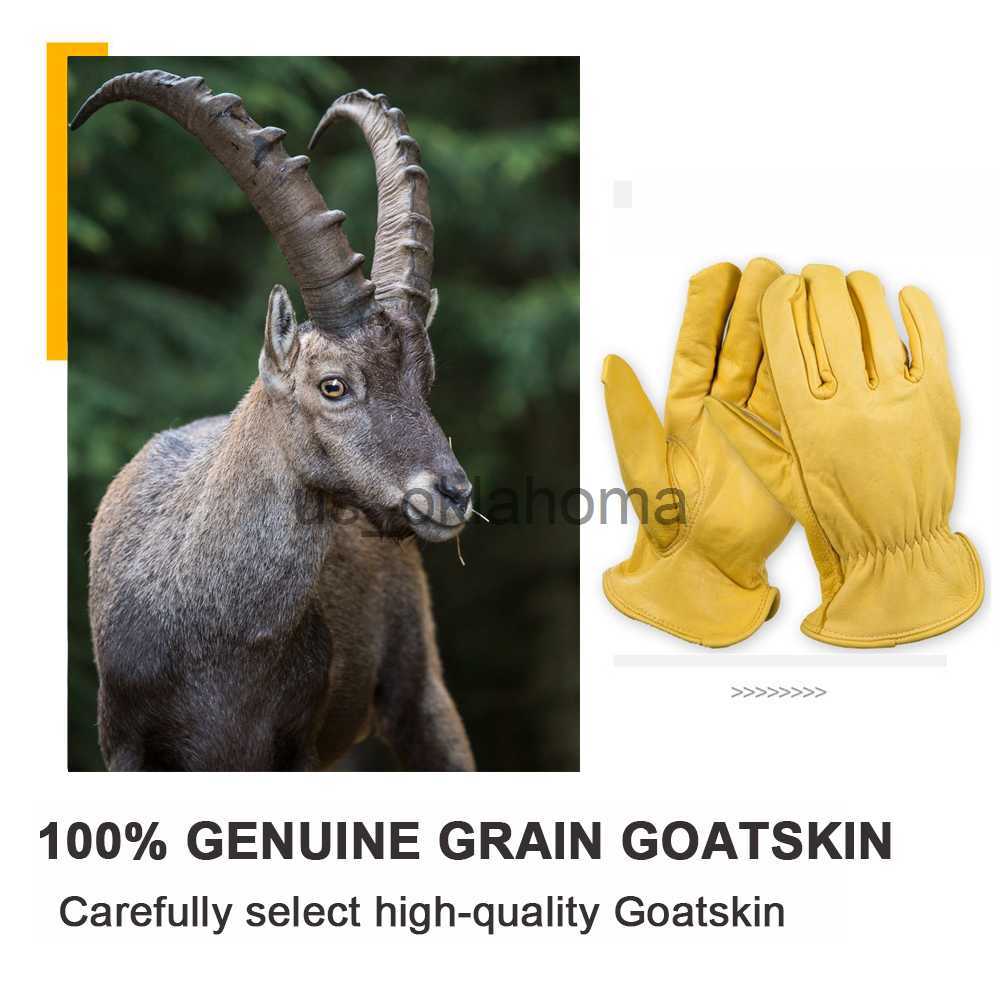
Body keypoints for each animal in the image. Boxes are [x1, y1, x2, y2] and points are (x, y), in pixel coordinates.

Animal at [73, 71, 476, 771]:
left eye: (424, 379)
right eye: (332, 385)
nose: (451, 493)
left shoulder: (294, 747)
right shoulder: (124, 744)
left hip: (420, 690)